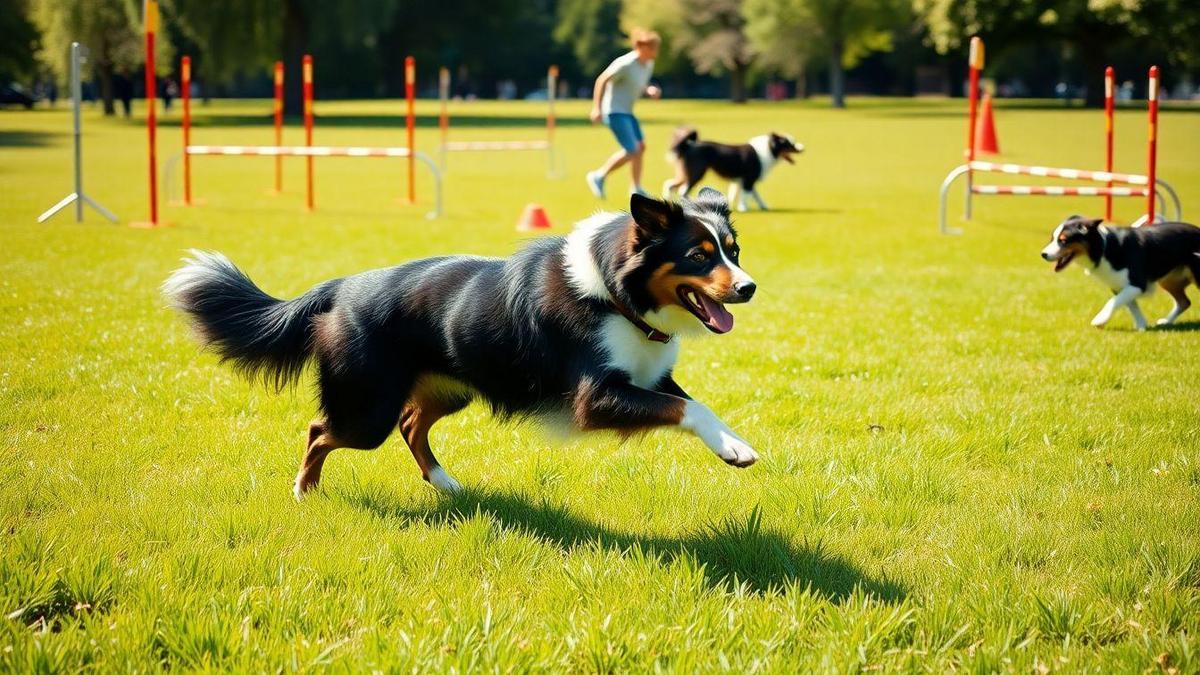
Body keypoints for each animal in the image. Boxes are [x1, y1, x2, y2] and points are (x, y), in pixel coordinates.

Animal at [163, 186, 758, 497]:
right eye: (699, 256)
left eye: (734, 250)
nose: (749, 288)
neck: (616, 293)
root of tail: (341, 287)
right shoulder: (594, 397)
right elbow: (686, 409)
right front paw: (737, 449)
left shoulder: (651, 376)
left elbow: (695, 403)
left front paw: (734, 444)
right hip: (367, 410)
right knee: (320, 430)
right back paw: (305, 490)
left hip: (450, 388)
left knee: (411, 424)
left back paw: (443, 482)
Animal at [662, 126, 801, 210]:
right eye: (789, 144)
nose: (802, 148)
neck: (768, 149)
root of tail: (689, 145)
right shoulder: (748, 180)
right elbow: (746, 195)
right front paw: (743, 208)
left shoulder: (742, 181)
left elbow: (754, 195)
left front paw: (764, 206)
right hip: (697, 173)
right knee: (683, 190)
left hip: (686, 174)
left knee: (670, 184)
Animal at [1041, 214, 1200, 329]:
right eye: (1052, 239)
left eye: (1063, 240)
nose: (1043, 254)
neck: (1103, 249)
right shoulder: (1120, 285)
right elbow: (1130, 304)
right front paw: (1141, 325)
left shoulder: (1137, 283)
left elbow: (1114, 301)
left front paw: (1100, 320)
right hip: (1169, 280)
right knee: (1184, 302)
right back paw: (1166, 321)